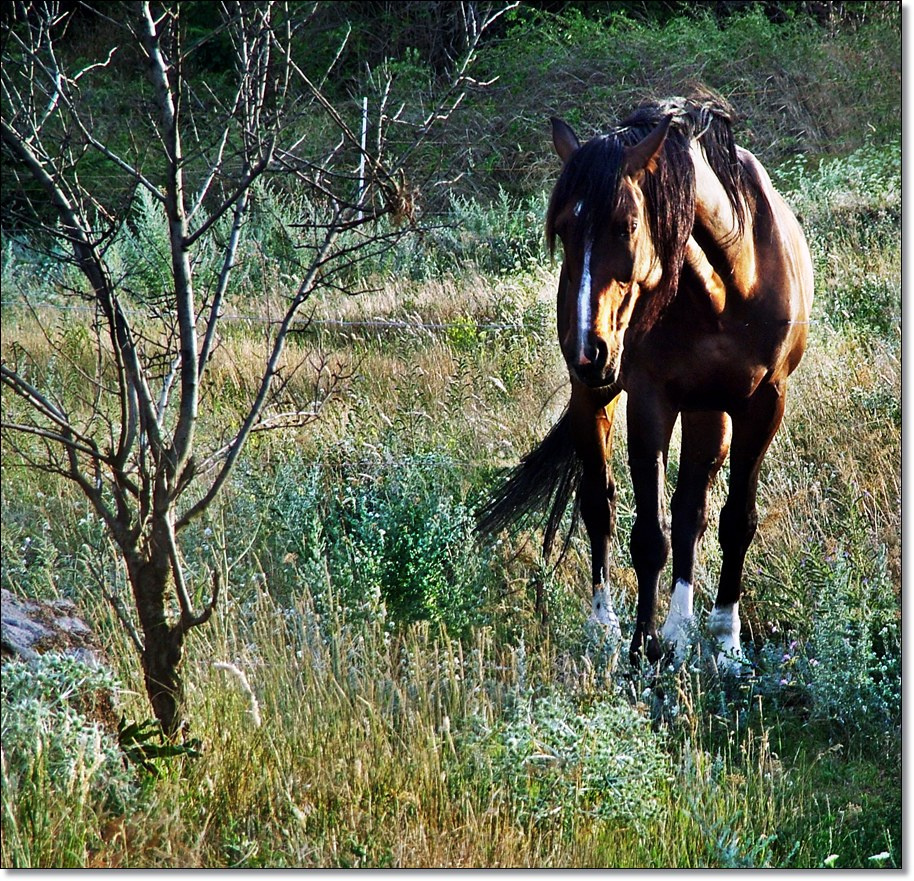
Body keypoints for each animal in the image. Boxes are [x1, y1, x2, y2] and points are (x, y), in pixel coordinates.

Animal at [478, 94, 812, 672]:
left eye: (628, 224)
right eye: (562, 228)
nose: (587, 348)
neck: (728, 285)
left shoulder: (764, 404)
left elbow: (733, 521)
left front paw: (726, 644)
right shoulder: (650, 401)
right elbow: (648, 537)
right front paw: (640, 650)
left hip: (708, 411)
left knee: (690, 512)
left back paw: (682, 631)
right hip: (599, 397)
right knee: (600, 505)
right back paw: (605, 627)